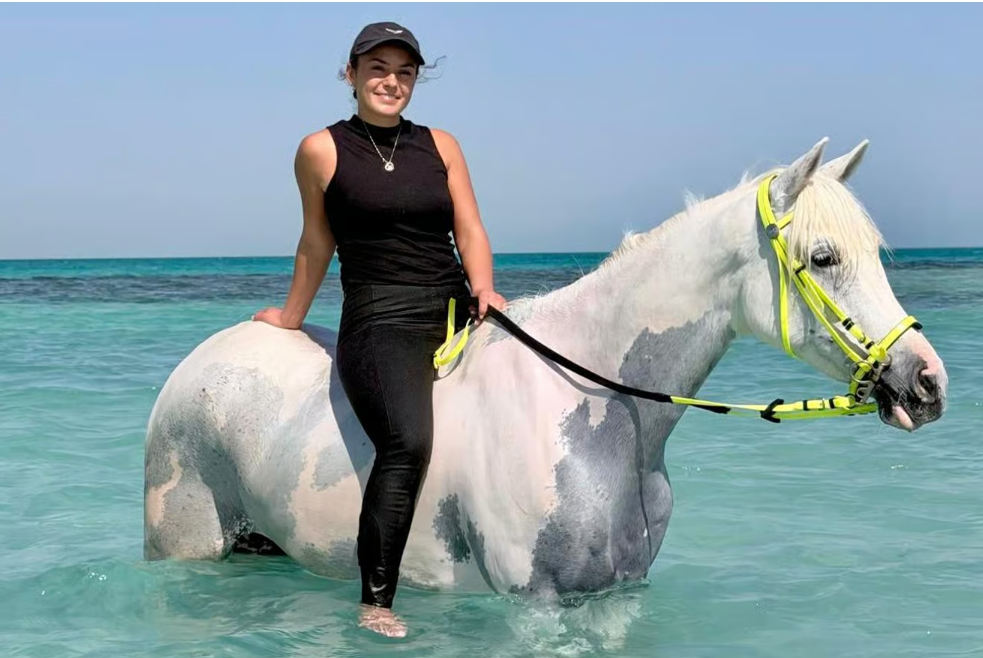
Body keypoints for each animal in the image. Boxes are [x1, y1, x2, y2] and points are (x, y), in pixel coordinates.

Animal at [143, 138, 948, 602]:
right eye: (823, 257)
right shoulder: (536, 606)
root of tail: (204, 359)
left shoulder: (612, 596)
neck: (596, 411)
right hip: (184, 547)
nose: (927, 382)